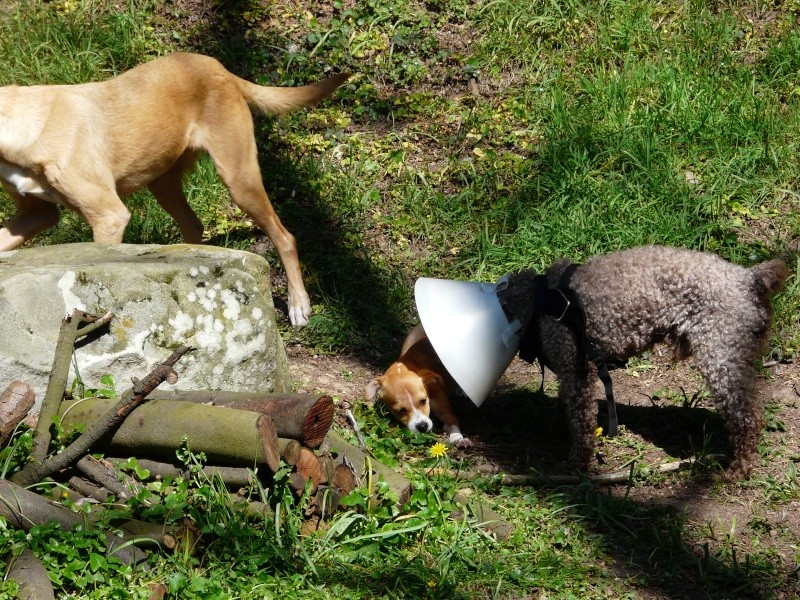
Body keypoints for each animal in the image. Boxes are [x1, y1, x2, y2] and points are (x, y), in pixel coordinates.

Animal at [0, 52, 350, 326]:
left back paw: (298, 305)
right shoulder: (37, 214)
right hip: (163, 183)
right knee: (194, 227)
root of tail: (218, 67)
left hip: (239, 179)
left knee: (285, 237)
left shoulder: (108, 217)